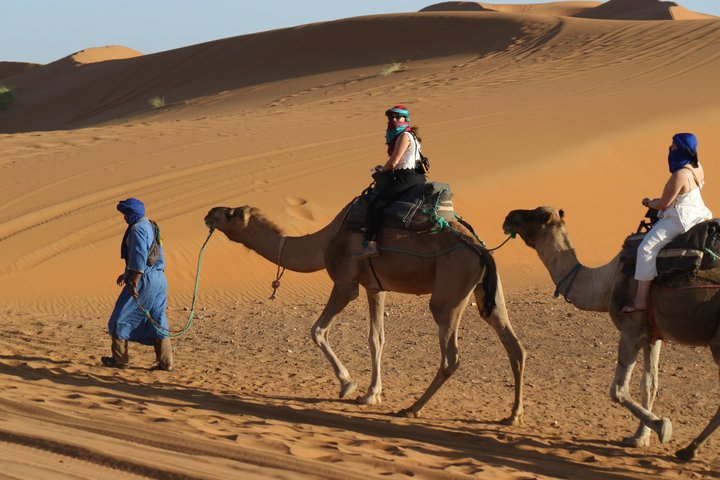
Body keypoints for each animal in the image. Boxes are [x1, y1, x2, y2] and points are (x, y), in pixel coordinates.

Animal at [204, 202, 526, 424]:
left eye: (230, 213)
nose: (210, 213)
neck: (325, 242)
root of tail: (479, 249)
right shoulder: (375, 287)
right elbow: (376, 339)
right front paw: (372, 393)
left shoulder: (346, 284)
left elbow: (317, 330)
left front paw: (348, 384)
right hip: (486, 292)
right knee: (515, 346)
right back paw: (513, 416)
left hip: (449, 294)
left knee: (451, 356)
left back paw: (412, 409)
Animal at [502, 206, 720, 461]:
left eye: (534, 216)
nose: (509, 216)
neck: (606, 282)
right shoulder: (651, 334)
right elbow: (649, 384)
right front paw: (639, 438)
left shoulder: (630, 330)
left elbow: (618, 389)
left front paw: (663, 427)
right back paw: (689, 448)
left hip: (717, 342)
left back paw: (689, 449)